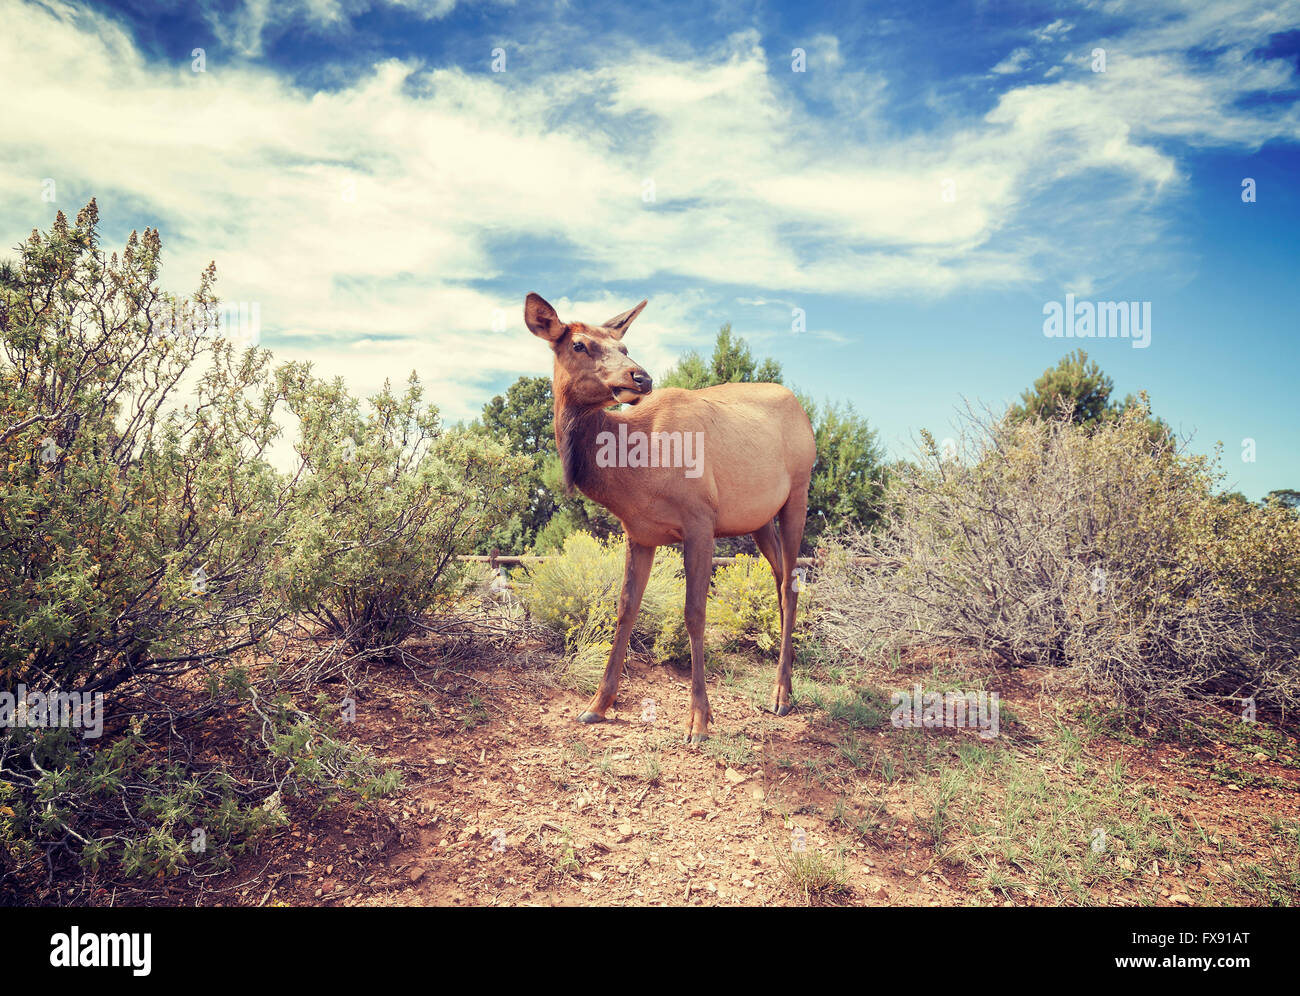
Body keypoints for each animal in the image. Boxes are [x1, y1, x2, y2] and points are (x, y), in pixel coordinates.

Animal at [525, 292, 811, 743]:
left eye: (623, 346)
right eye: (579, 345)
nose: (640, 376)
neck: (632, 469)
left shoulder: (700, 521)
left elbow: (694, 613)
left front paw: (699, 720)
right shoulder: (639, 533)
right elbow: (625, 608)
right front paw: (596, 705)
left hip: (798, 493)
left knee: (790, 584)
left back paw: (781, 693)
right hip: (758, 518)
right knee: (781, 576)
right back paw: (790, 677)